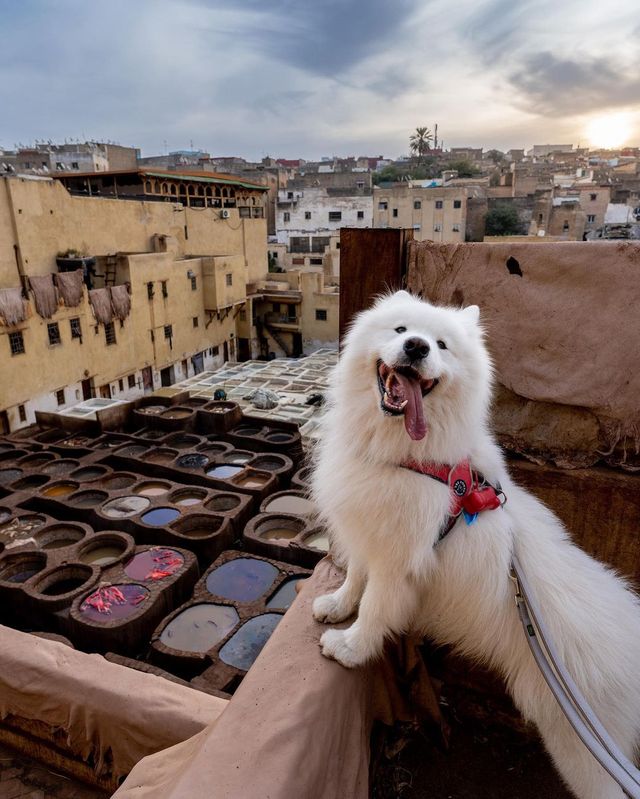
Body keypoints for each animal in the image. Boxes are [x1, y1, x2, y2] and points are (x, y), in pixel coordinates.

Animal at [310, 290, 640, 799]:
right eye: (401, 330)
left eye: (442, 345)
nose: (417, 348)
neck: (407, 457)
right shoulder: (371, 534)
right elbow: (354, 582)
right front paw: (335, 606)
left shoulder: (397, 564)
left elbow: (374, 610)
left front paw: (349, 648)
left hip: (586, 752)